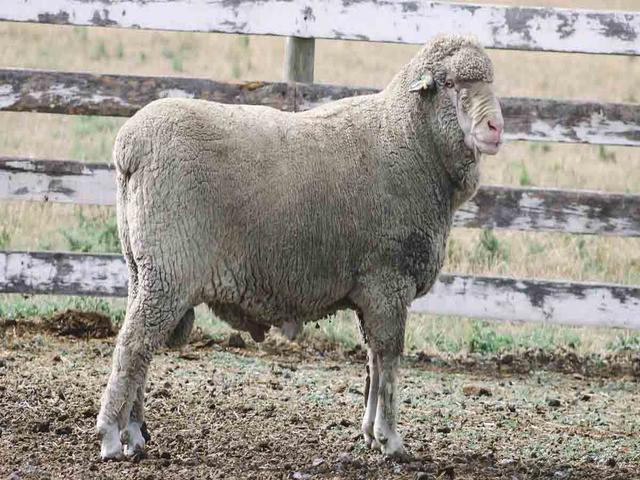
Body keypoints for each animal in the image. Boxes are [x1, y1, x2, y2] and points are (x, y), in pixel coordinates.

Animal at [97, 34, 504, 461]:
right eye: (450, 84)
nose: (495, 127)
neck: (407, 138)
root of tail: (129, 146)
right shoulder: (388, 280)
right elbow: (390, 358)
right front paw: (391, 440)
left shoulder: (371, 289)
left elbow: (374, 361)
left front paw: (370, 433)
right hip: (171, 269)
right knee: (134, 345)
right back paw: (111, 436)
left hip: (141, 268)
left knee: (141, 346)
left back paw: (134, 434)